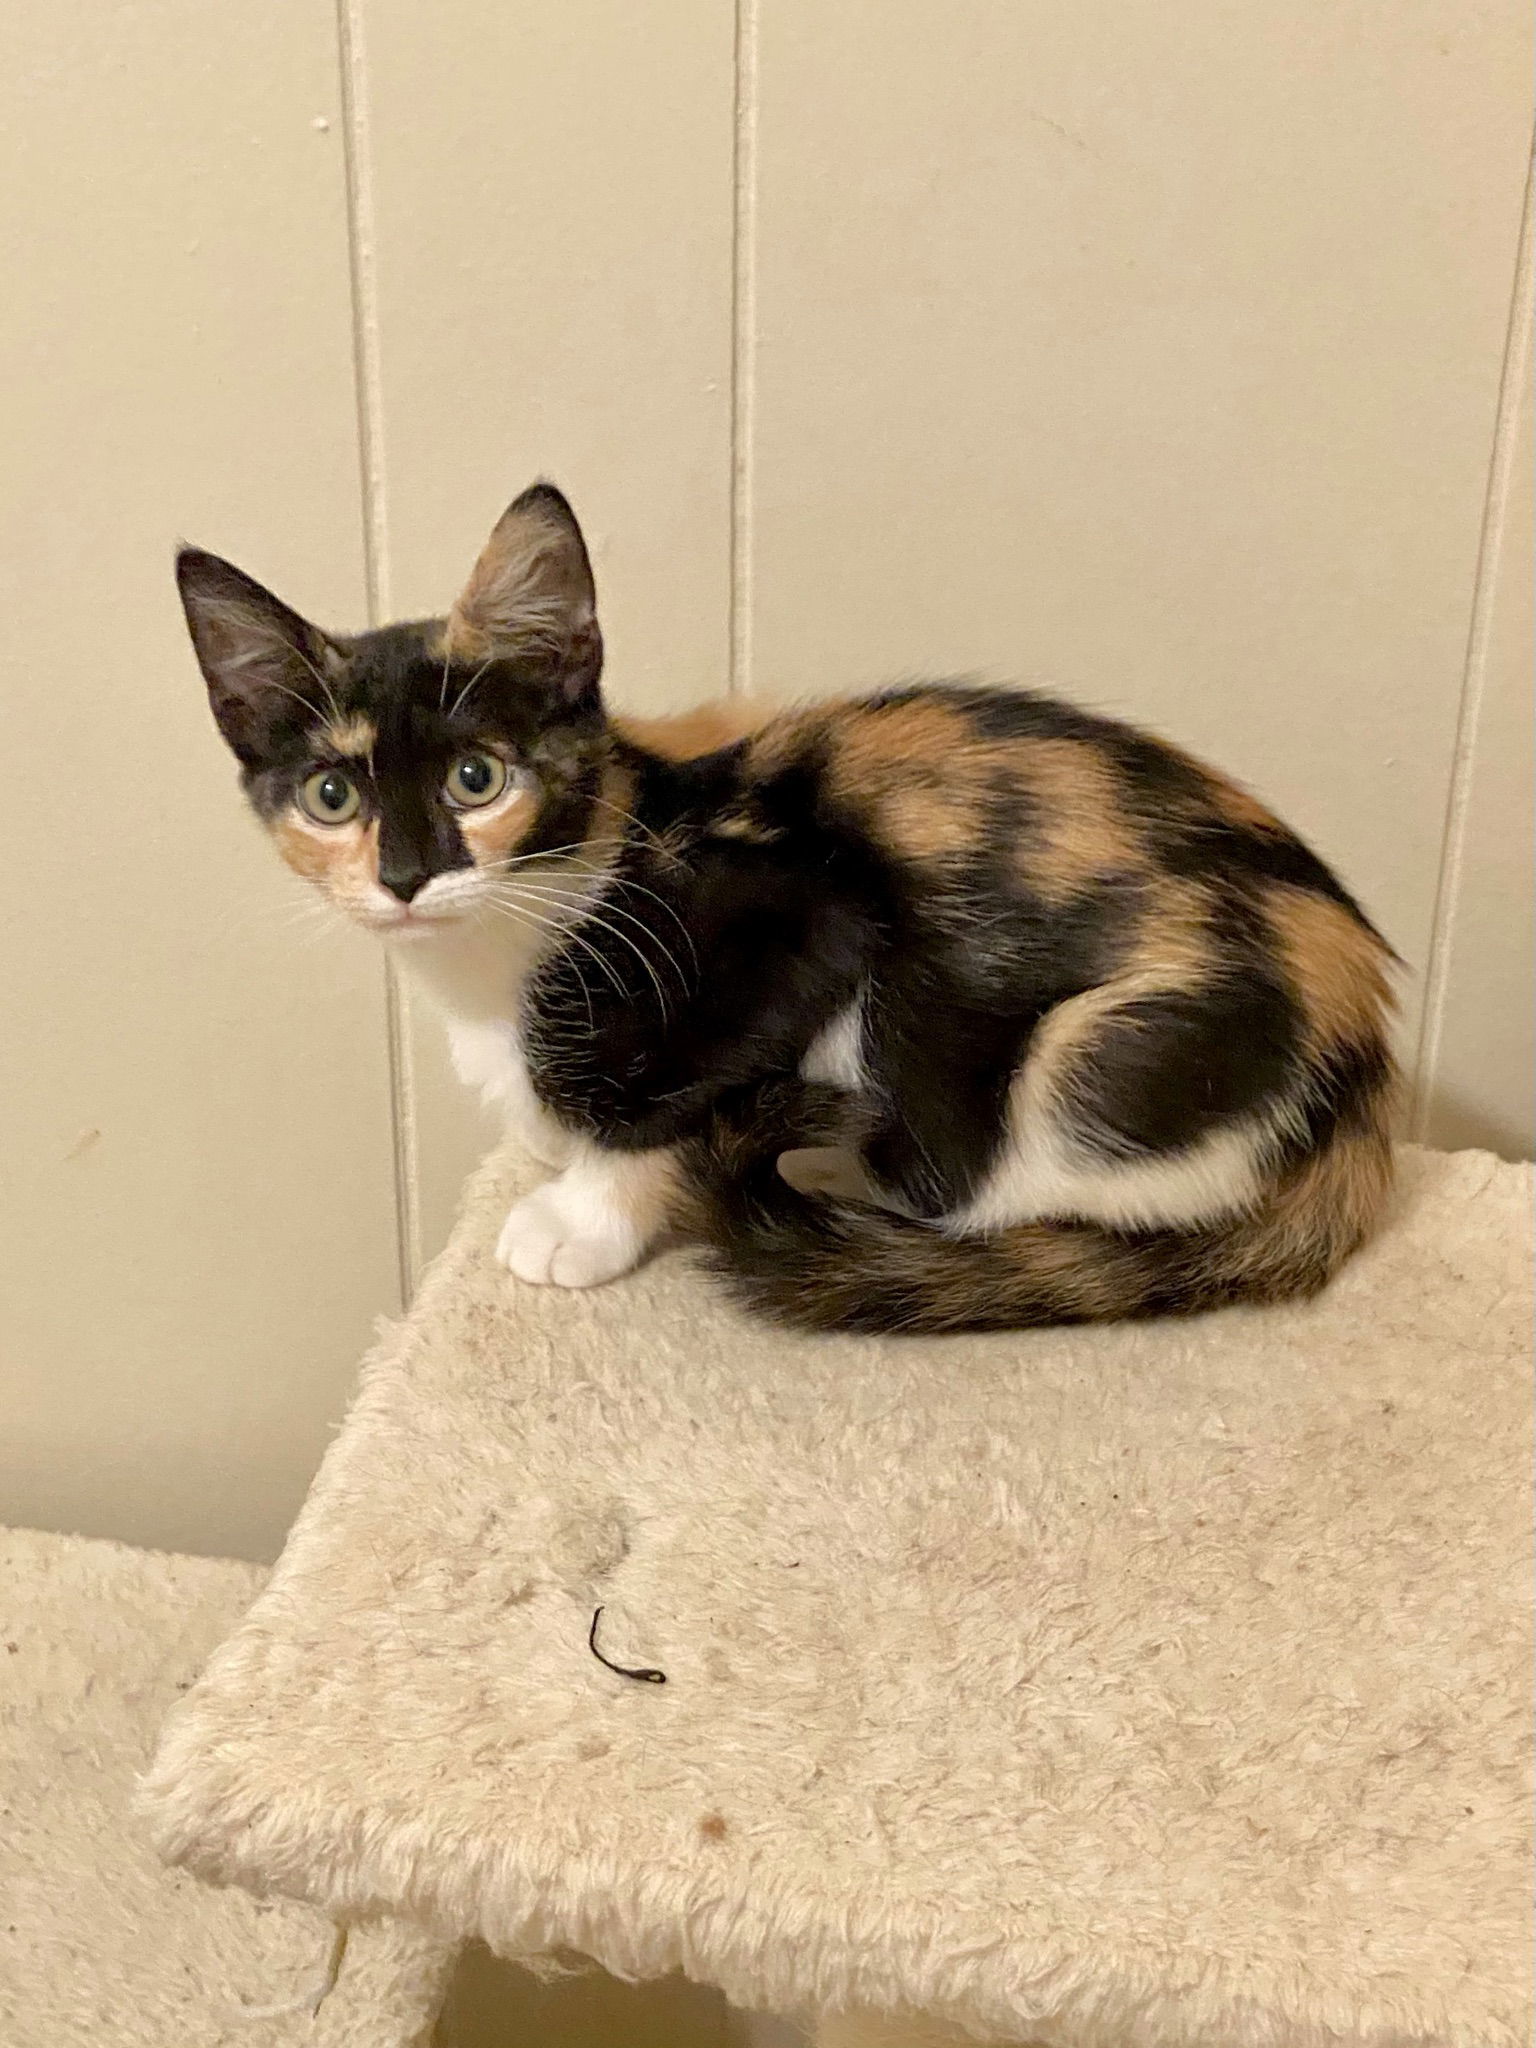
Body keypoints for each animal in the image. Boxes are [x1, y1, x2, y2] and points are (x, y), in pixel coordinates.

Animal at [174, 485, 1400, 1335]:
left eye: (478, 779)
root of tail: (1362, 1078)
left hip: (1091, 1062)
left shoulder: (807, 913)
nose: (406, 877)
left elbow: (653, 1103)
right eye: (332, 796)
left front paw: (583, 1215)